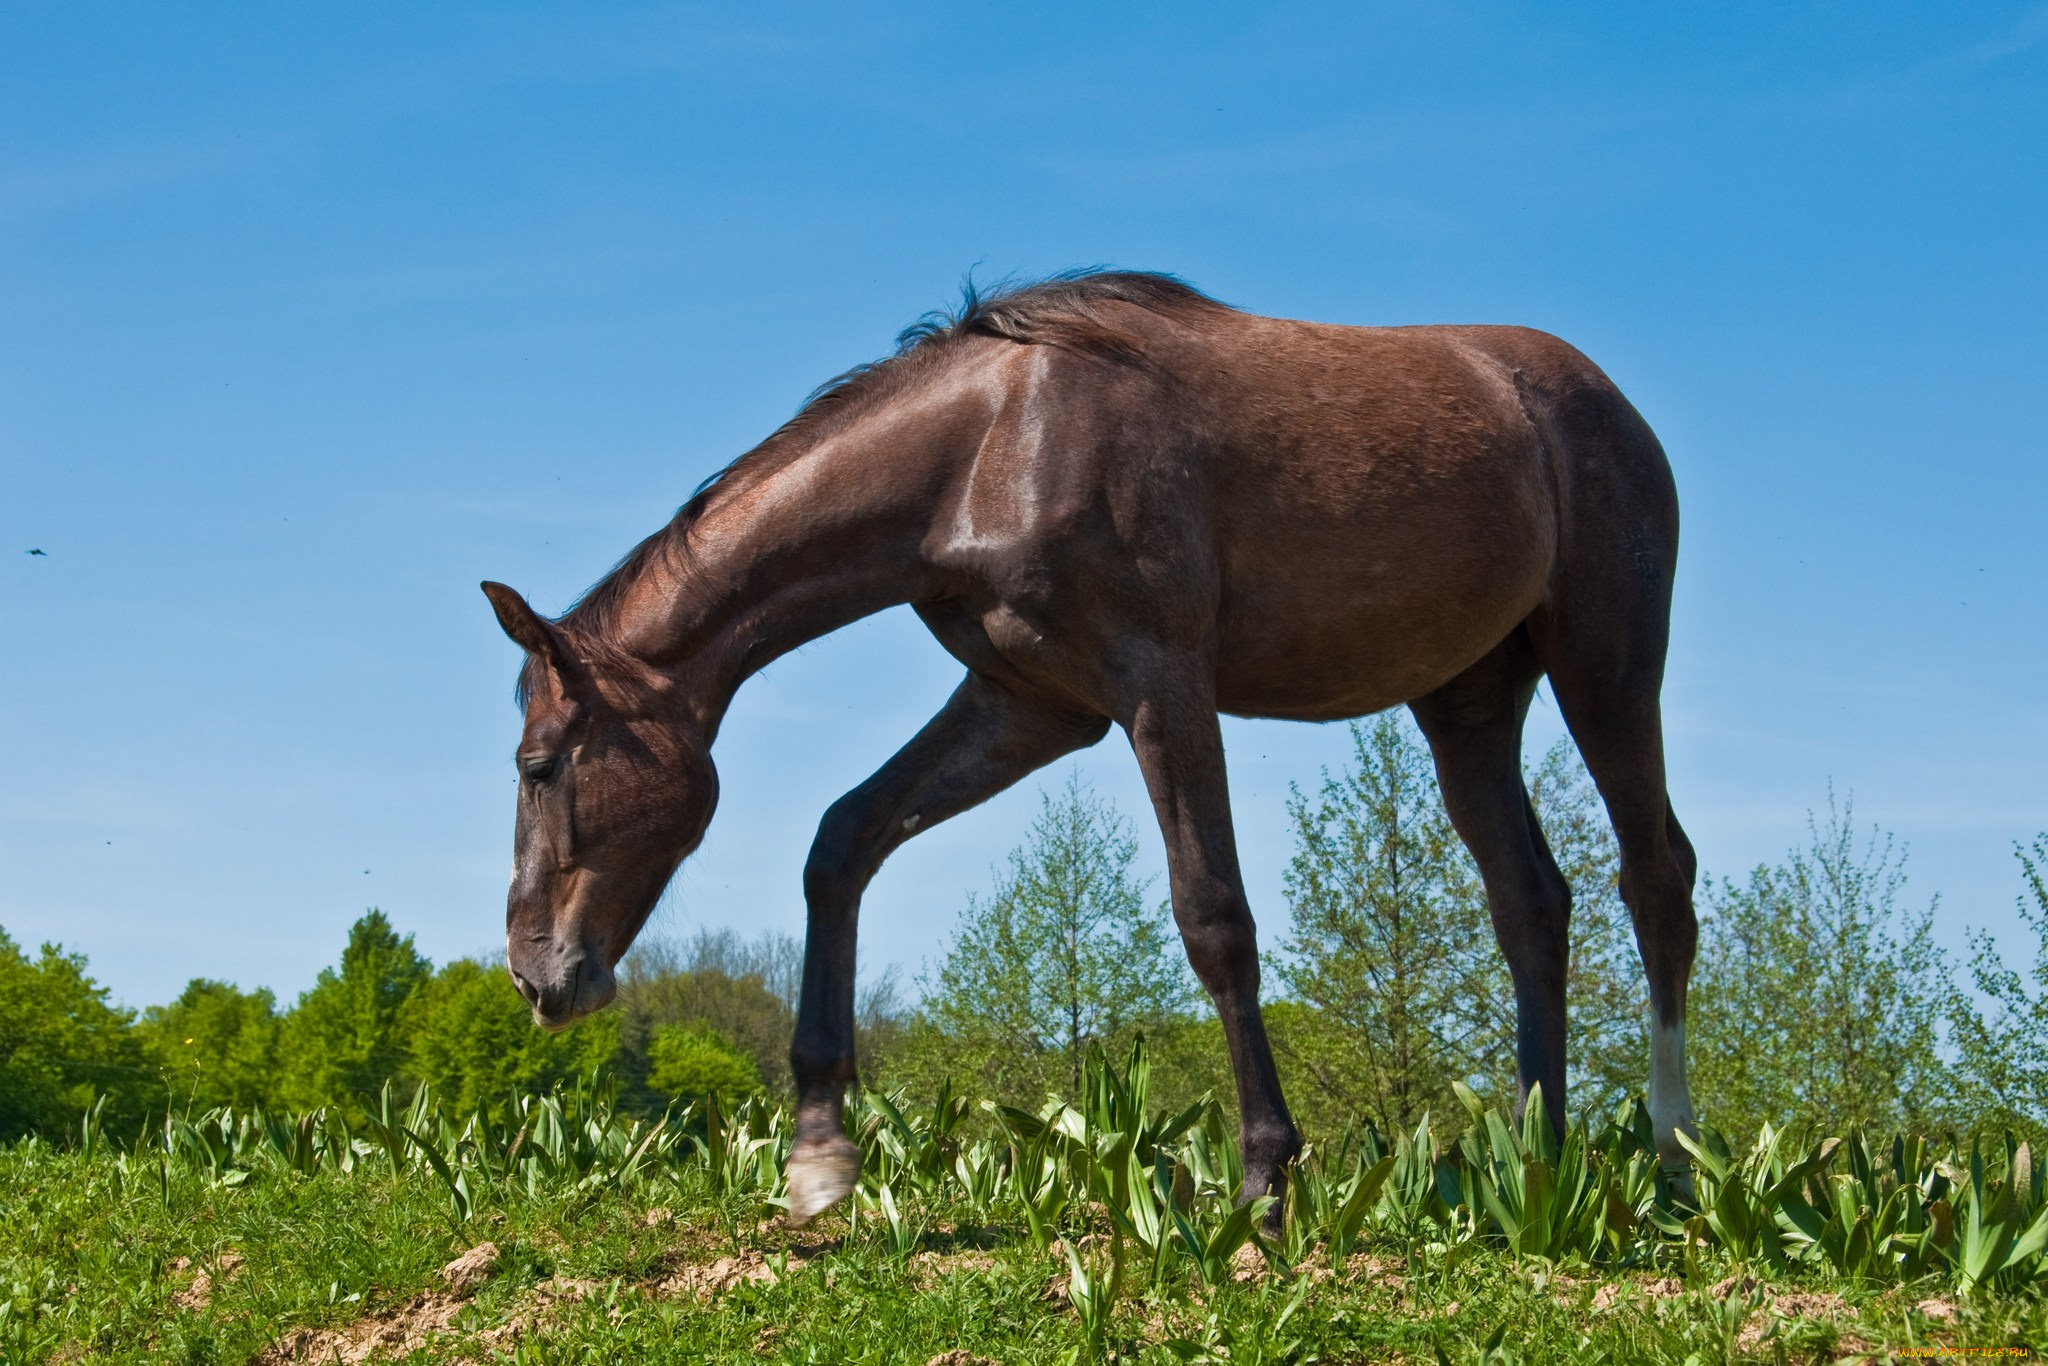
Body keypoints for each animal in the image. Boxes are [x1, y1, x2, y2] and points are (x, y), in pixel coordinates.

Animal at [479, 266, 1695, 1228]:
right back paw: (1538, 1166)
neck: (987, 444)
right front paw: (820, 1153)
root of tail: (1602, 404)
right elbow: (842, 840)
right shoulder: (1028, 705)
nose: (538, 977)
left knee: (1656, 881)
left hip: (1606, 662)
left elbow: (1214, 918)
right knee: (1530, 901)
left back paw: (1677, 1163)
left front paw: (1264, 1179)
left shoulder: (1159, 685)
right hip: (1467, 703)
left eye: (539, 768)